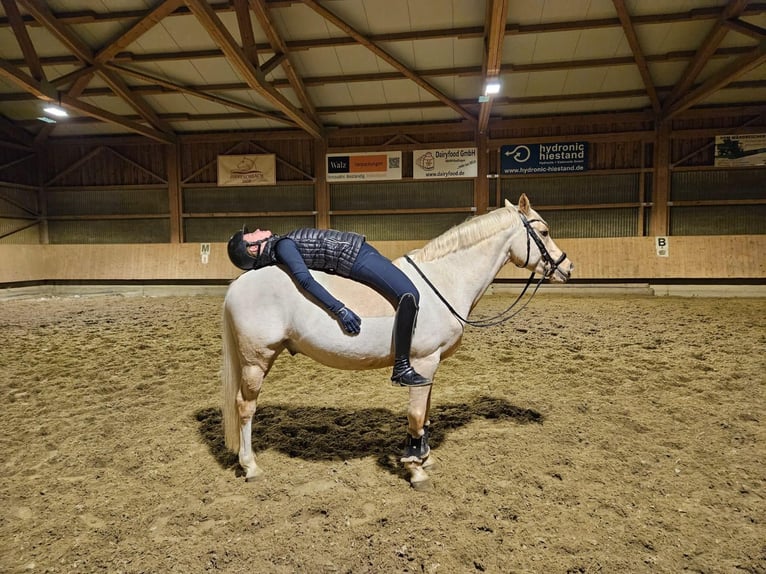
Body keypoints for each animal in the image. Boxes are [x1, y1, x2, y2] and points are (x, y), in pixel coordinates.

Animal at [219, 197, 572, 490]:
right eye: (544, 231)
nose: (567, 267)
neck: (444, 279)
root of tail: (238, 284)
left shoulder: (430, 366)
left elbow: (426, 412)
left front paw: (425, 455)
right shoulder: (423, 360)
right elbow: (416, 414)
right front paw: (415, 469)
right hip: (256, 360)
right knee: (245, 407)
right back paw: (250, 466)